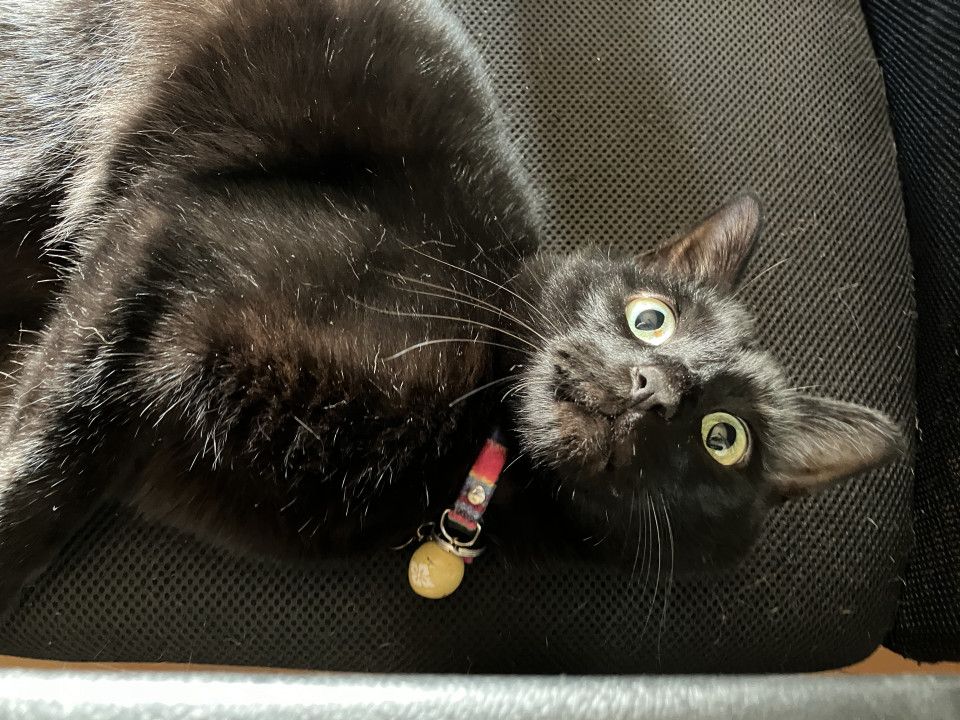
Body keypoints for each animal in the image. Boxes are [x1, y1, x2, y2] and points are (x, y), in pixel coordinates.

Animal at [0, 0, 902, 616]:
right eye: (652, 318)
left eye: (723, 438)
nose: (651, 386)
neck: (462, 443)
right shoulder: (163, 232)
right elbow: (47, 455)